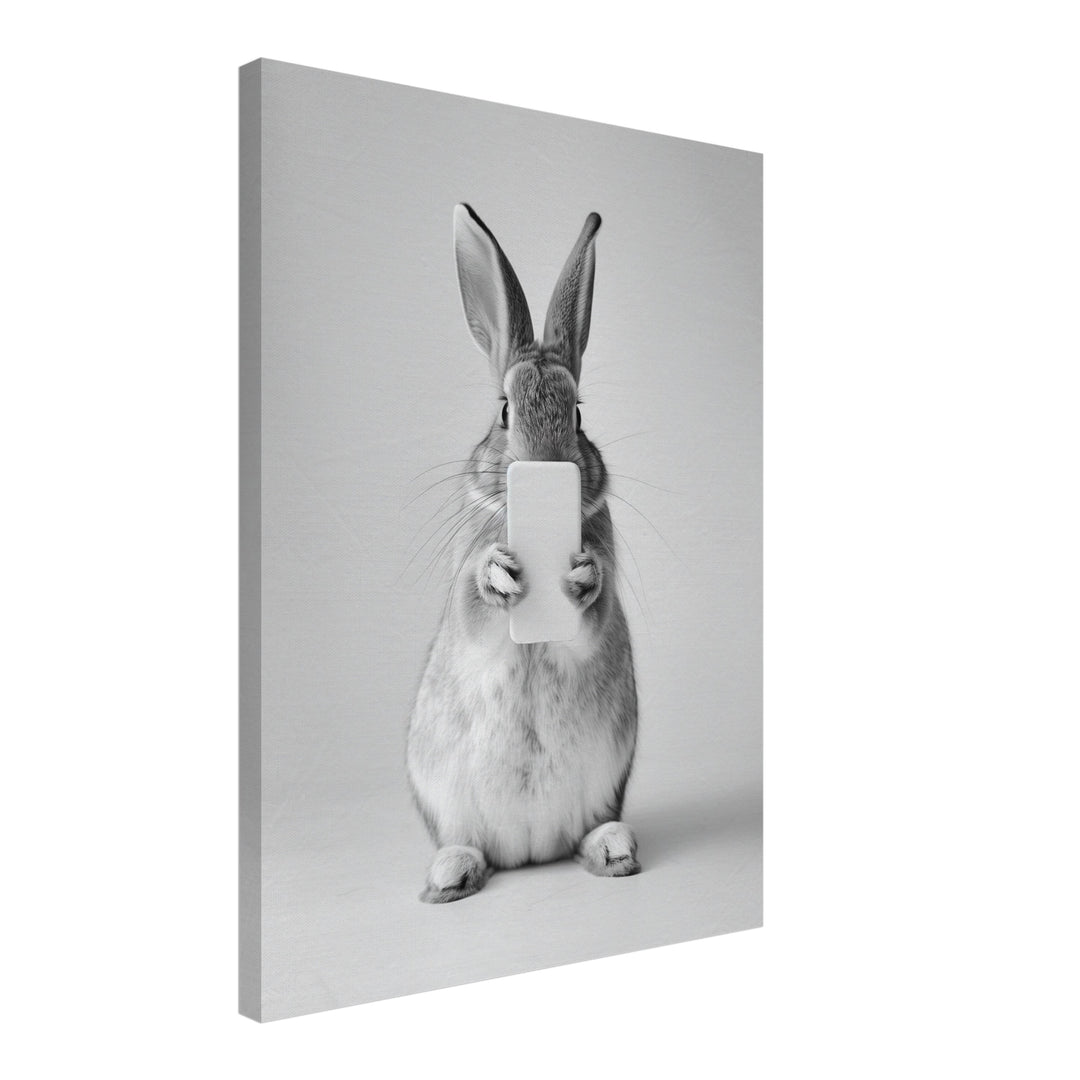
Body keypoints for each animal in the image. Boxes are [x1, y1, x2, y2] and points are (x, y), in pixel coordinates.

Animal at [406, 204, 639, 903]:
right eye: (506, 410)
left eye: (579, 414)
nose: (546, 464)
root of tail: (531, 851)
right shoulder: (467, 604)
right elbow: (475, 608)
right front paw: (499, 576)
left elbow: (592, 617)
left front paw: (584, 576)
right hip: (445, 795)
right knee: (469, 843)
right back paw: (451, 873)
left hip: (607, 780)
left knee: (586, 833)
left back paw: (612, 848)